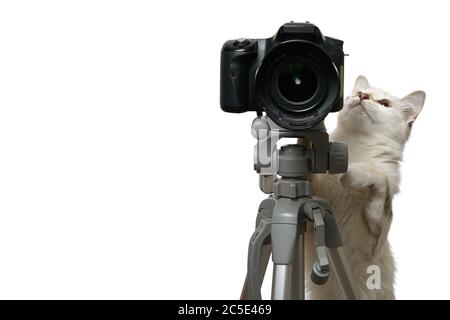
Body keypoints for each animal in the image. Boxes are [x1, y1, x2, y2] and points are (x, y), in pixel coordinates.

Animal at [306, 75, 426, 300]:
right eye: (359, 94)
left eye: (384, 103)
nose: (363, 96)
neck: (355, 148)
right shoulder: (315, 198)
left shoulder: (369, 245)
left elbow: (378, 179)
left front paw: (350, 176)